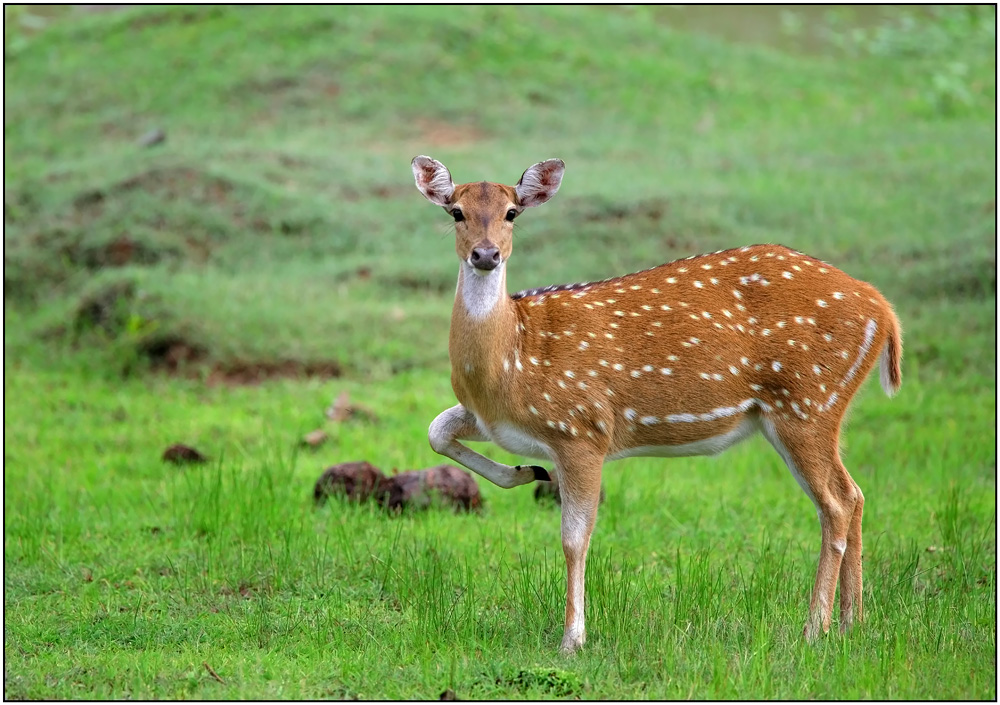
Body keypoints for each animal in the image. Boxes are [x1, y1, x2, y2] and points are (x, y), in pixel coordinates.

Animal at [410, 155, 904, 656]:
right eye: (456, 211)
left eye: (512, 212)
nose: (486, 255)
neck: (512, 361)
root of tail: (884, 310)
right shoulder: (497, 422)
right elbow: (436, 431)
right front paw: (526, 472)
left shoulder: (582, 428)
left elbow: (574, 539)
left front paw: (573, 639)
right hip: (809, 409)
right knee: (854, 495)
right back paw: (851, 623)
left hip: (807, 401)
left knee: (836, 503)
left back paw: (813, 629)